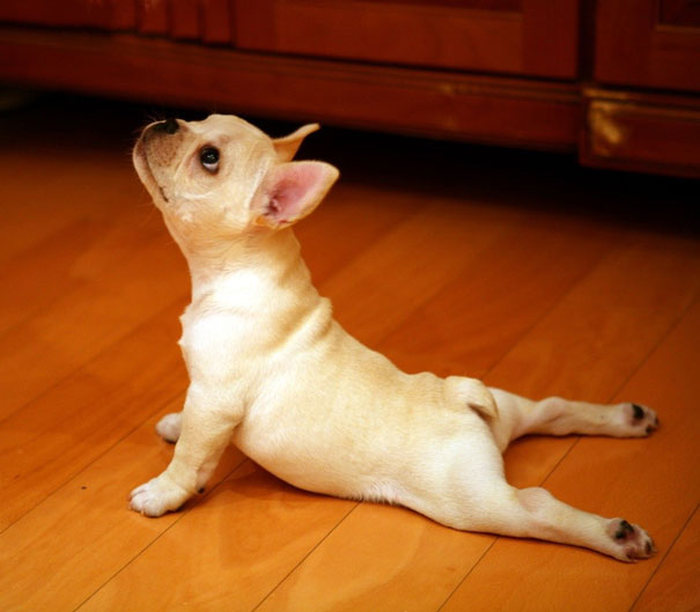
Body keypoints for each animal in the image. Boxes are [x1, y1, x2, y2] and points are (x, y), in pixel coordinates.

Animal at [130, 112, 656, 560]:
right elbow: (190, 426)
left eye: (209, 158)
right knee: (552, 409)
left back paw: (615, 535)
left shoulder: (215, 399)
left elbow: (192, 456)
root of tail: (460, 402)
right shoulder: (205, 394)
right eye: (198, 120)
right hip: (507, 408)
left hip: (475, 501)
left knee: (537, 509)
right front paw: (176, 423)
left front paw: (162, 491)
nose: (167, 120)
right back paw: (627, 419)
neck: (242, 268)